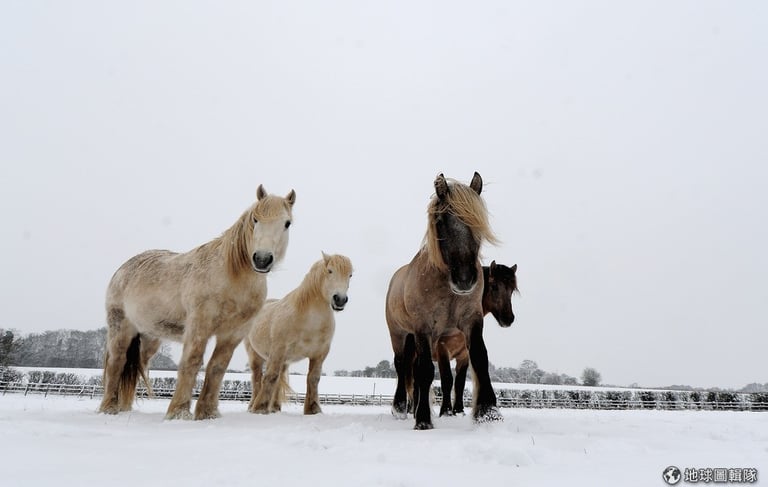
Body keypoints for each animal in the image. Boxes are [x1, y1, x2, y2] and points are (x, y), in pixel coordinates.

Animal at [99, 185, 296, 422]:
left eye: (287, 223)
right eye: (255, 219)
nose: (262, 259)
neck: (230, 277)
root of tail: (123, 269)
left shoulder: (233, 334)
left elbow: (217, 368)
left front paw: (208, 413)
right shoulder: (199, 326)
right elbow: (191, 362)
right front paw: (178, 412)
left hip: (149, 338)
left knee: (137, 365)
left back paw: (124, 408)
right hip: (120, 327)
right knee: (116, 363)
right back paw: (109, 408)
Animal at [246, 252, 354, 416]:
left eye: (350, 275)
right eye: (329, 271)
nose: (340, 299)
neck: (310, 321)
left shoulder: (320, 353)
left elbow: (313, 378)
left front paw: (313, 409)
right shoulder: (278, 350)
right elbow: (270, 376)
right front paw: (260, 408)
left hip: (283, 362)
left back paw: (275, 407)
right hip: (256, 356)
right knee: (257, 377)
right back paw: (253, 406)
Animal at [388, 173, 500, 430]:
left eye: (477, 221)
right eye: (440, 219)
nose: (465, 279)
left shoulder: (471, 321)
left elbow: (480, 358)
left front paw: (488, 411)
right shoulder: (424, 327)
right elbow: (425, 371)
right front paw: (422, 419)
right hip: (399, 333)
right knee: (401, 365)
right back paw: (400, 407)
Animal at [432, 262, 516, 418]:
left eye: (512, 290)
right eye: (494, 286)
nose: (508, 318)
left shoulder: (464, 355)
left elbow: (460, 383)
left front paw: (458, 411)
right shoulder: (442, 349)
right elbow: (447, 380)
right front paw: (446, 412)